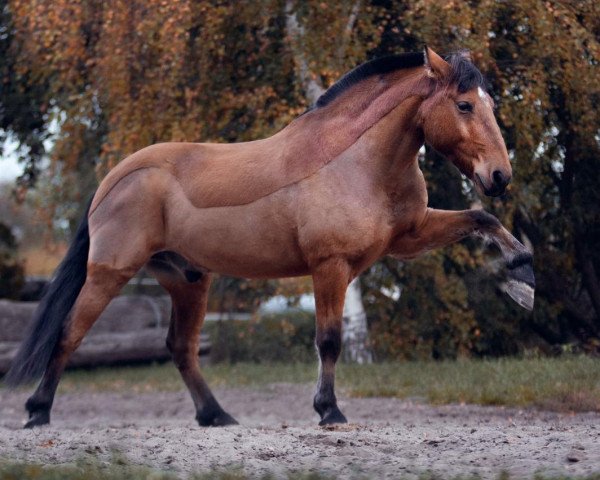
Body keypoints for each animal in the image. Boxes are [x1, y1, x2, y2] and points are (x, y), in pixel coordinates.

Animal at [5, 47, 536, 428]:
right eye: (463, 104)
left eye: (489, 103)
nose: (499, 176)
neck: (356, 161)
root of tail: (114, 178)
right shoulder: (330, 266)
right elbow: (329, 340)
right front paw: (329, 410)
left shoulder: (407, 236)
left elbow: (482, 218)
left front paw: (521, 279)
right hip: (109, 273)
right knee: (70, 333)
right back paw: (37, 412)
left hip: (187, 280)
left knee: (180, 348)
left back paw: (216, 416)